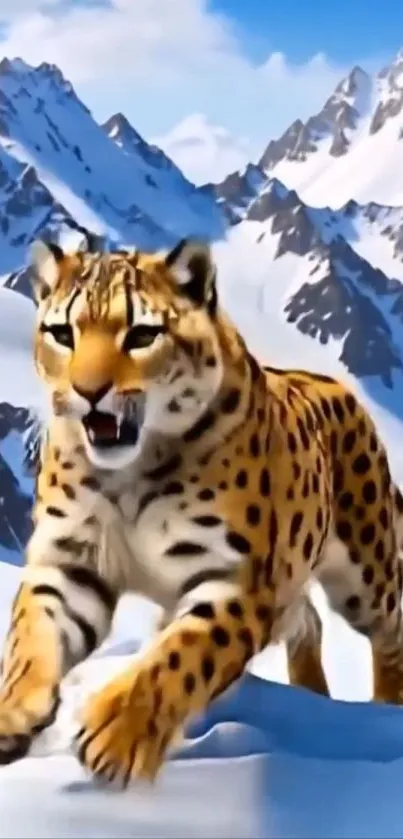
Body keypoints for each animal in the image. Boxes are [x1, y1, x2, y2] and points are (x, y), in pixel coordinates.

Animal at [0, 234, 402, 788]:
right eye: (62, 333)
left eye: (142, 334)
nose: (88, 392)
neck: (129, 477)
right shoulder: (70, 559)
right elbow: (32, 636)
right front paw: (13, 713)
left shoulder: (230, 577)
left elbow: (180, 657)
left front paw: (116, 734)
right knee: (308, 619)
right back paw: (311, 693)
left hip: (366, 568)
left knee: (390, 628)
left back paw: (385, 710)